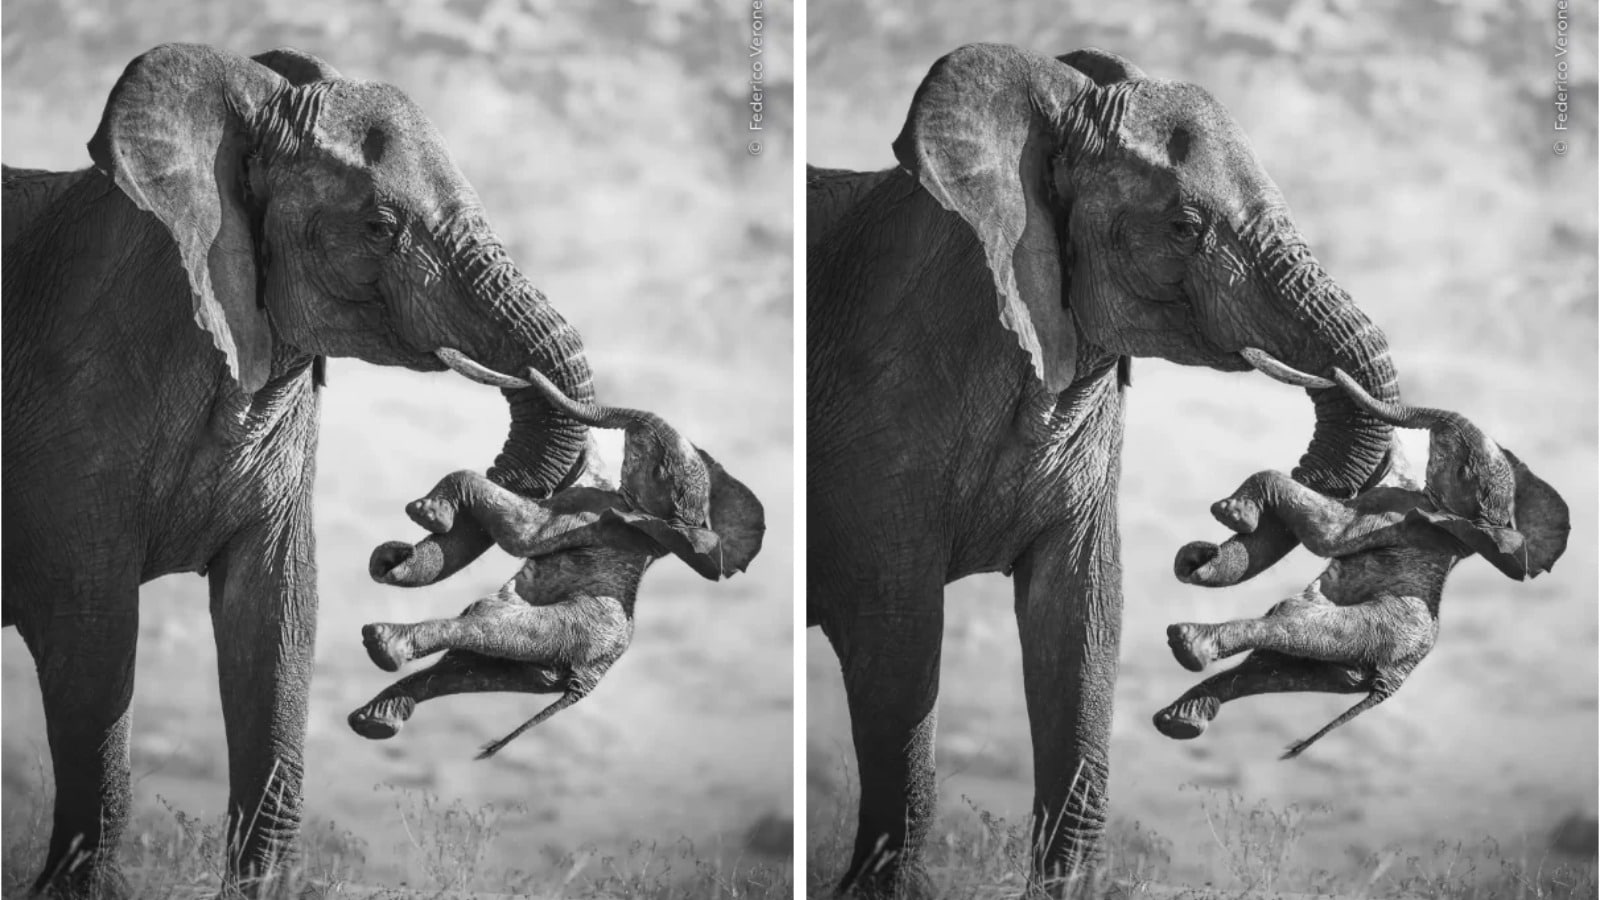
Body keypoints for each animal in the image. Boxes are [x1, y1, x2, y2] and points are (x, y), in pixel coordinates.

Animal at [1158, 357, 1570, 757]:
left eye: (1463, 468)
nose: (1332, 372)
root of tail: (1390, 682)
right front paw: (1197, 556)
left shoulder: (1394, 513)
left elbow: (1327, 535)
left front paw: (1232, 514)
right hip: (1343, 665)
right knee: (1267, 669)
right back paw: (1179, 719)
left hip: (1372, 630)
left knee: (1292, 626)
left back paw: (1188, 645)